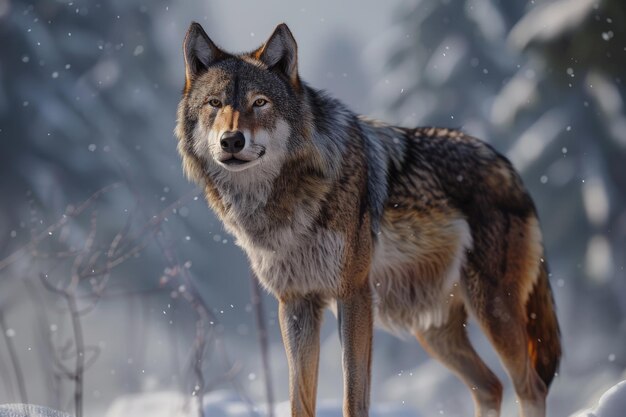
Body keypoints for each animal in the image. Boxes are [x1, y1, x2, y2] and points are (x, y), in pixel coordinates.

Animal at [173, 22, 560, 416]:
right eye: (214, 104)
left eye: (260, 102)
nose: (231, 140)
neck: (285, 201)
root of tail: (508, 166)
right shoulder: (296, 304)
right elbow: (300, 400)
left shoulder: (354, 293)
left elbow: (353, 396)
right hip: (433, 330)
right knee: (490, 386)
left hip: (492, 309)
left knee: (530, 386)